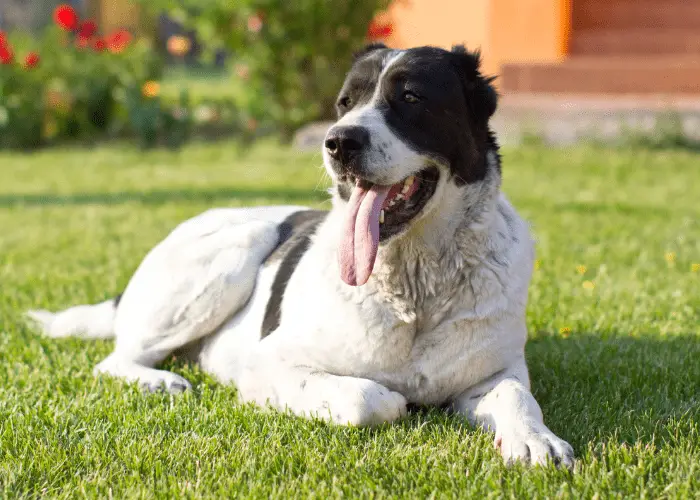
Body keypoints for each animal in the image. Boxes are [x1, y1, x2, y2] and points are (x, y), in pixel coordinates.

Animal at [27, 45, 576, 466]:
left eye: (410, 97)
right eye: (344, 103)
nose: (338, 141)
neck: (414, 284)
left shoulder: (496, 371)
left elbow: (516, 395)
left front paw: (535, 440)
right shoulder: (270, 363)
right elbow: (368, 397)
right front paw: (395, 397)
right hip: (232, 255)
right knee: (116, 359)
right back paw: (160, 381)